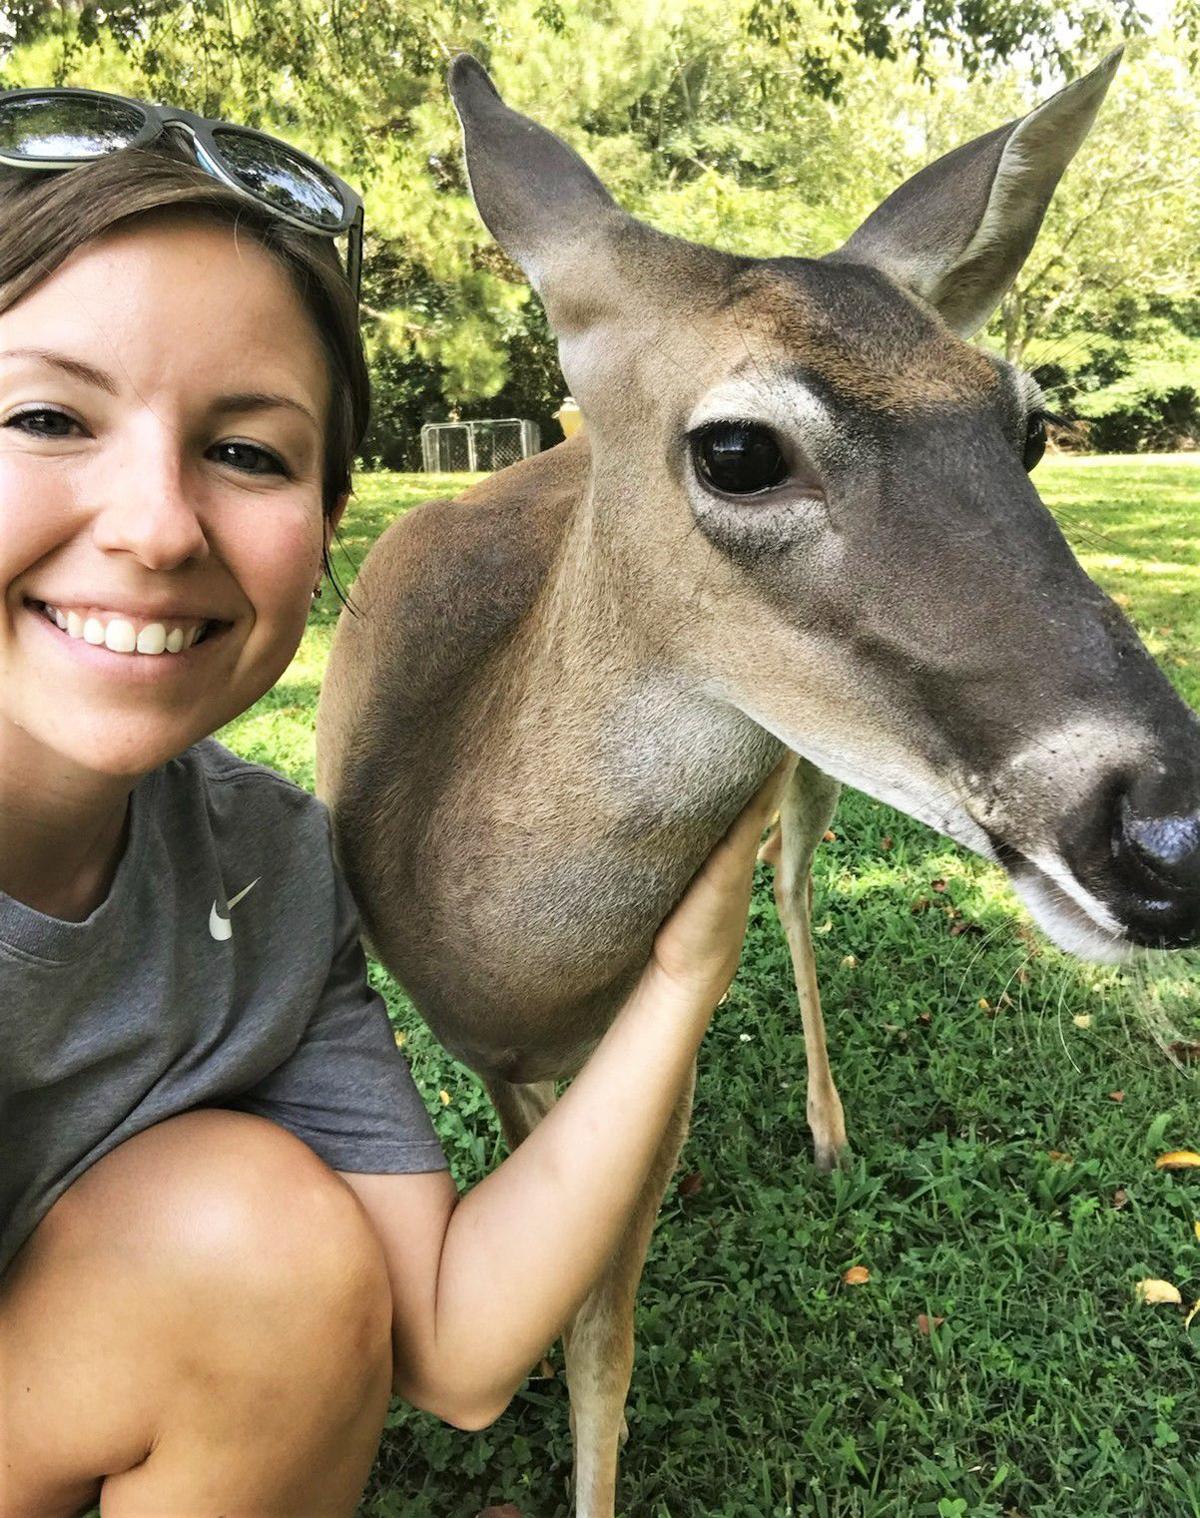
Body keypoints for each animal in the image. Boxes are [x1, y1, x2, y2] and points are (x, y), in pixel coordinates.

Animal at [316, 48, 1200, 1516]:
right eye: (737, 448)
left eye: (1024, 426)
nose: (1172, 833)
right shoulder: (485, 1052)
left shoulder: (655, 1047)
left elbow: (604, 1337)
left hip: (799, 783)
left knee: (790, 889)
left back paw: (831, 1129)